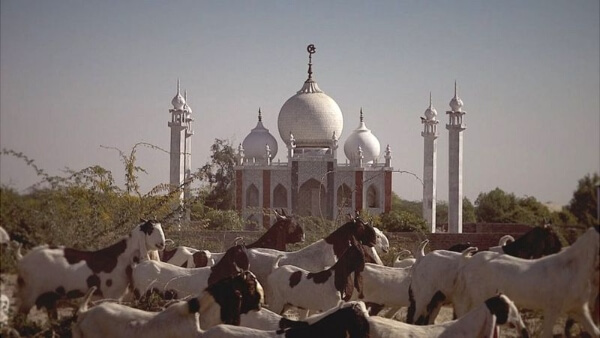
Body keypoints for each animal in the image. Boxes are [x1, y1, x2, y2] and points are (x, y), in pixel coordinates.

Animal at [16, 220, 166, 318]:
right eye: (150, 229)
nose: (162, 244)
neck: (120, 258)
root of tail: (24, 259)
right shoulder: (112, 295)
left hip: (48, 297)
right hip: (29, 294)